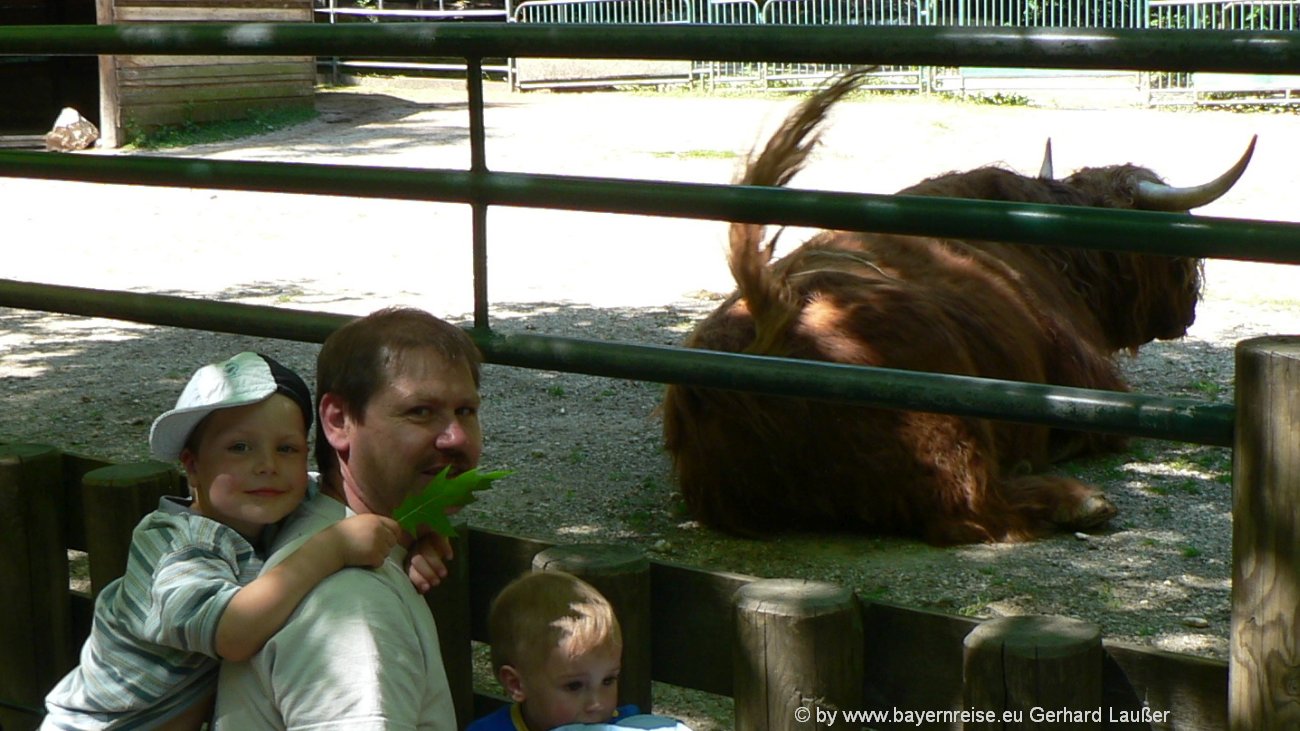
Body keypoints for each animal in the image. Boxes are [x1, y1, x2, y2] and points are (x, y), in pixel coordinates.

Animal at [661, 69, 1254, 545]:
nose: (1188, 310)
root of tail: (770, 322)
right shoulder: (1093, 380)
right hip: (941, 420)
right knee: (972, 510)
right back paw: (1078, 499)